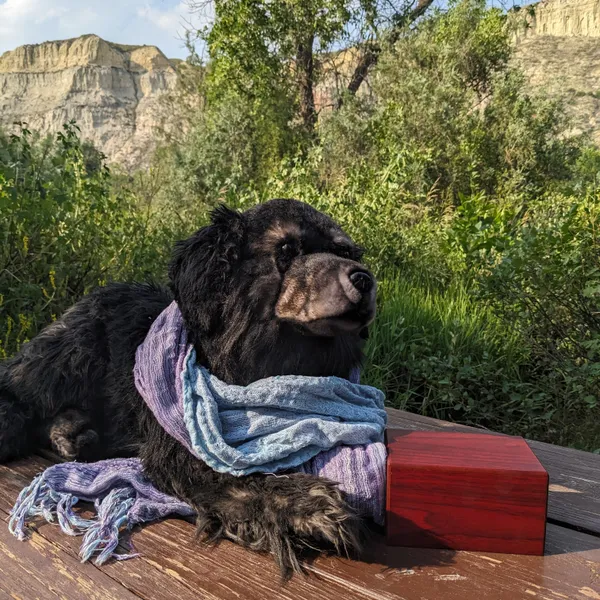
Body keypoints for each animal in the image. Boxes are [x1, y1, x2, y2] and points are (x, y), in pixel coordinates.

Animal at [0, 199, 376, 576]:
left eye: (344, 250)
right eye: (286, 249)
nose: (363, 278)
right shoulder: (180, 447)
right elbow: (237, 477)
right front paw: (305, 504)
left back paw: (73, 433)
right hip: (69, 355)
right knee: (19, 389)